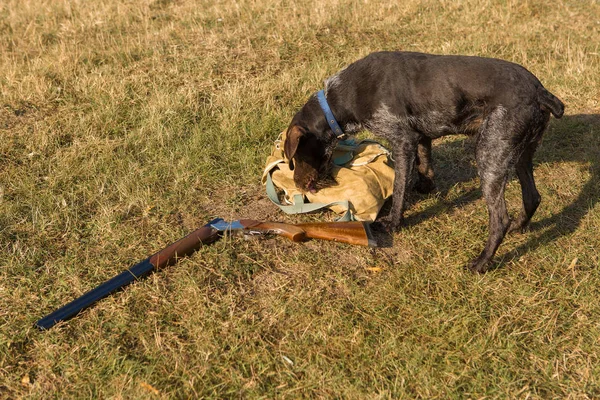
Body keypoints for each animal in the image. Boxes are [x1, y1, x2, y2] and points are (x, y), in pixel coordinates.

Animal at [284, 51, 564, 274]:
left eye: (294, 159)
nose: (297, 186)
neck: (340, 100)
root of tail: (540, 92)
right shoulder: (421, 137)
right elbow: (424, 166)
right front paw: (426, 188)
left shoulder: (402, 140)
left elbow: (399, 188)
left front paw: (393, 223)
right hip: (520, 153)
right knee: (532, 197)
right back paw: (519, 226)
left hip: (490, 154)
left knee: (500, 219)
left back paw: (481, 262)